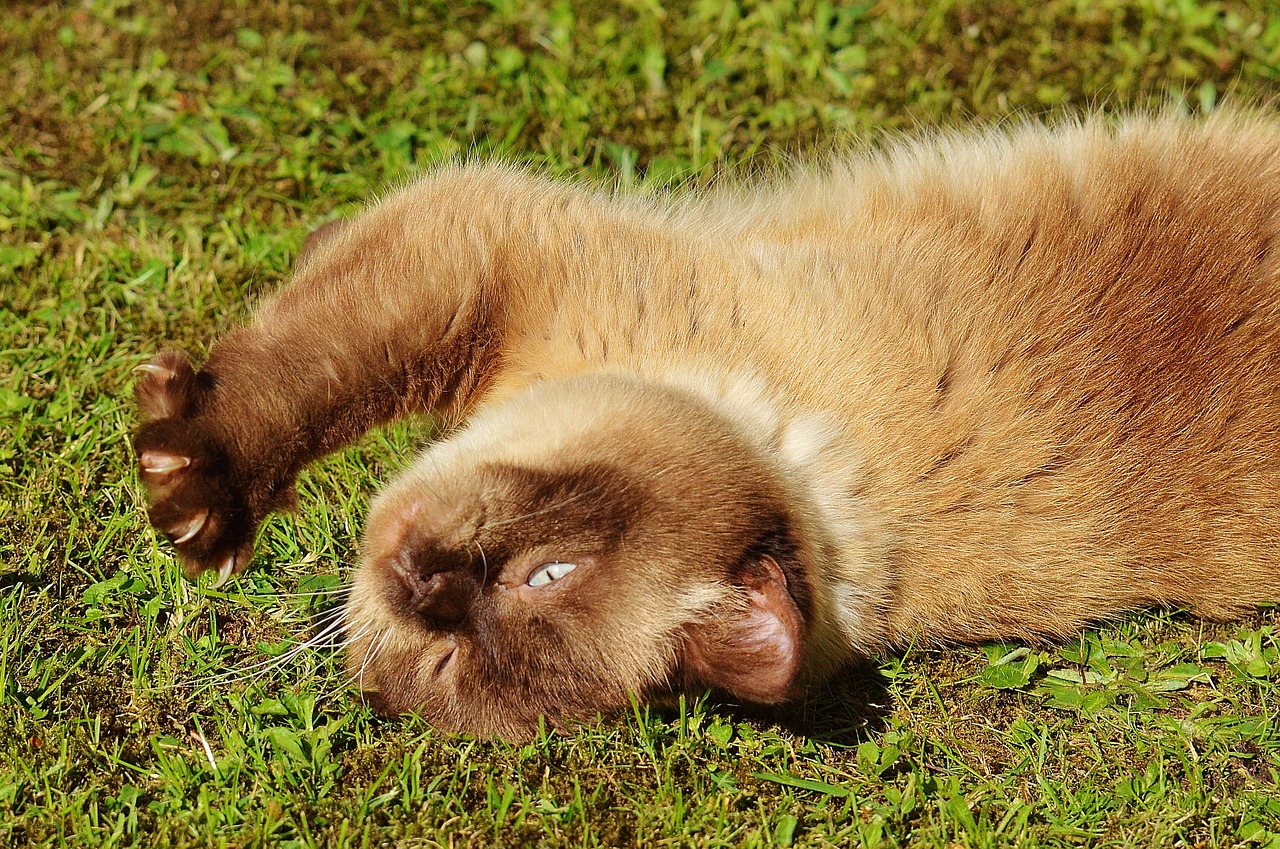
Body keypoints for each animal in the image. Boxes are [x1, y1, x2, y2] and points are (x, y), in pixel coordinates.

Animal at [132, 111, 1280, 737]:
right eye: (549, 570)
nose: (421, 583)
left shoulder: (485, 248)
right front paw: (193, 487)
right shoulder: (484, 257)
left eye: (445, 660)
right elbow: (306, 368)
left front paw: (184, 496)